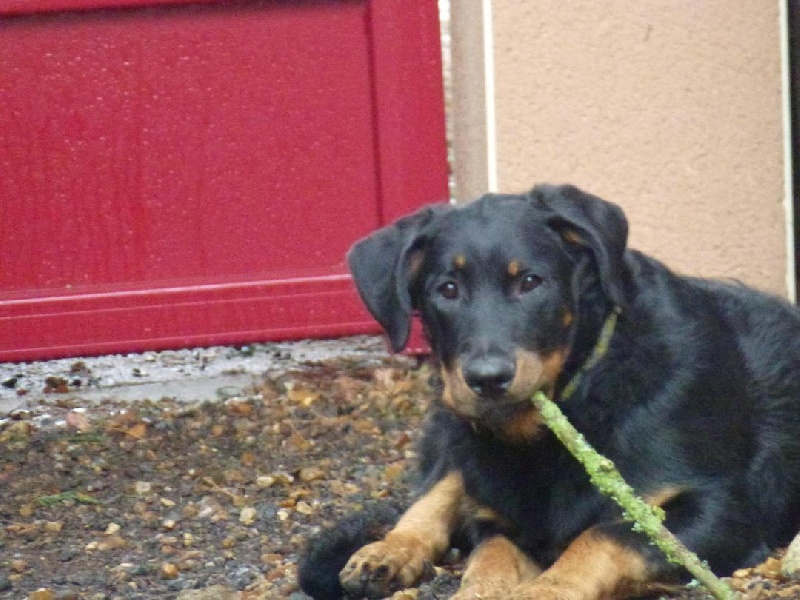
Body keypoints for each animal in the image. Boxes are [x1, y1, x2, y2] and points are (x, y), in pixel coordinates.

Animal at [296, 185, 800, 596]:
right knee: (439, 486)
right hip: (455, 431)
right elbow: (488, 555)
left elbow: (600, 537)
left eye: (530, 282)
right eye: (447, 289)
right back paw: (388, 550)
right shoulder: (505, 517)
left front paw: (543, 588)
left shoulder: (719, 509)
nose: (487, 378)